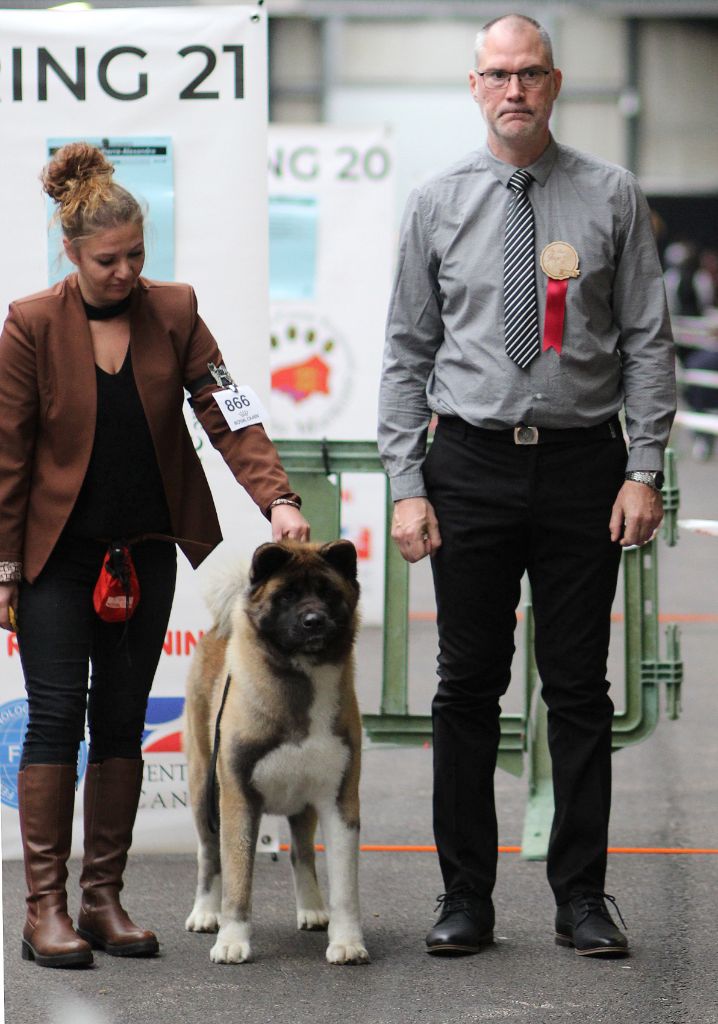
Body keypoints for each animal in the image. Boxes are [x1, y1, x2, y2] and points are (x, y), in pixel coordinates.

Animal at [182, 540, 368, 962]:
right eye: (286, 596)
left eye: (328, 593)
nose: (314, 620)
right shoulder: (238, 800)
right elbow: (237, 879)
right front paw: (232, 941)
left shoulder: (340, 801)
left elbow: (345, 887)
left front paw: (347, 942)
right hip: (203, 787)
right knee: (208, 854)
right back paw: (205, 913)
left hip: (303, 807)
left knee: (303, 853)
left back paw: (313, 909)